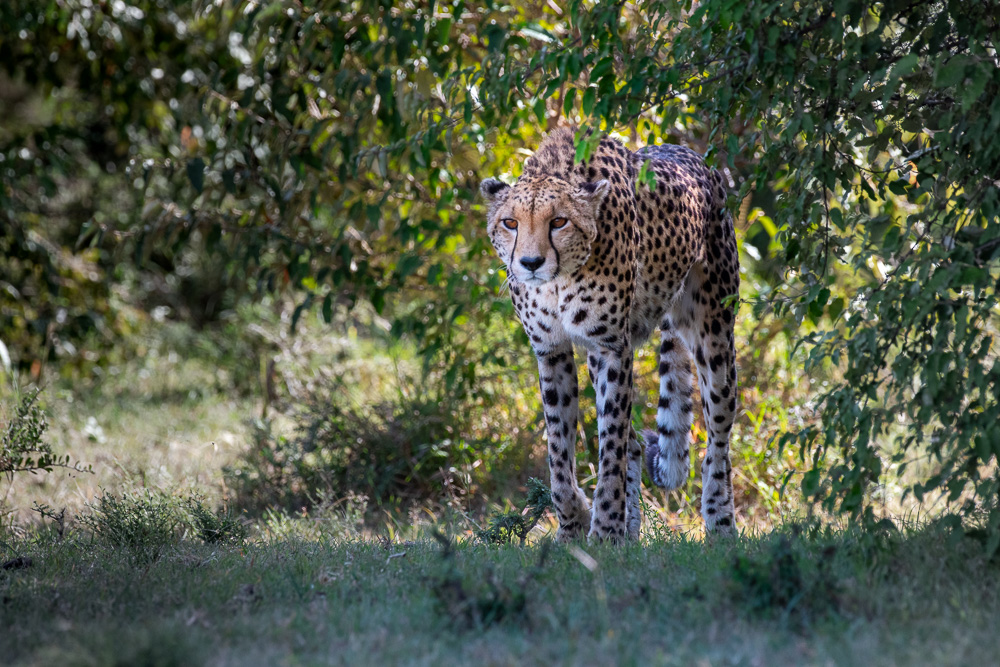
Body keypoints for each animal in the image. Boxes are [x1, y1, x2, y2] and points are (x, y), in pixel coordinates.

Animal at [479, 127, 740, 542]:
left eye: (559, 222)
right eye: (510, 223)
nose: (531, 263)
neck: (559, 278)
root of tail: (692, 154)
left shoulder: (612, 348)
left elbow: (611, 445)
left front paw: (604, 530)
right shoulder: (551, 350)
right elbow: (559, 451)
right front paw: (573, 526)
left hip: (713, 332)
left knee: (718, 434)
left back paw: (720, 522)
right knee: (635, 443)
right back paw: (631, 531)